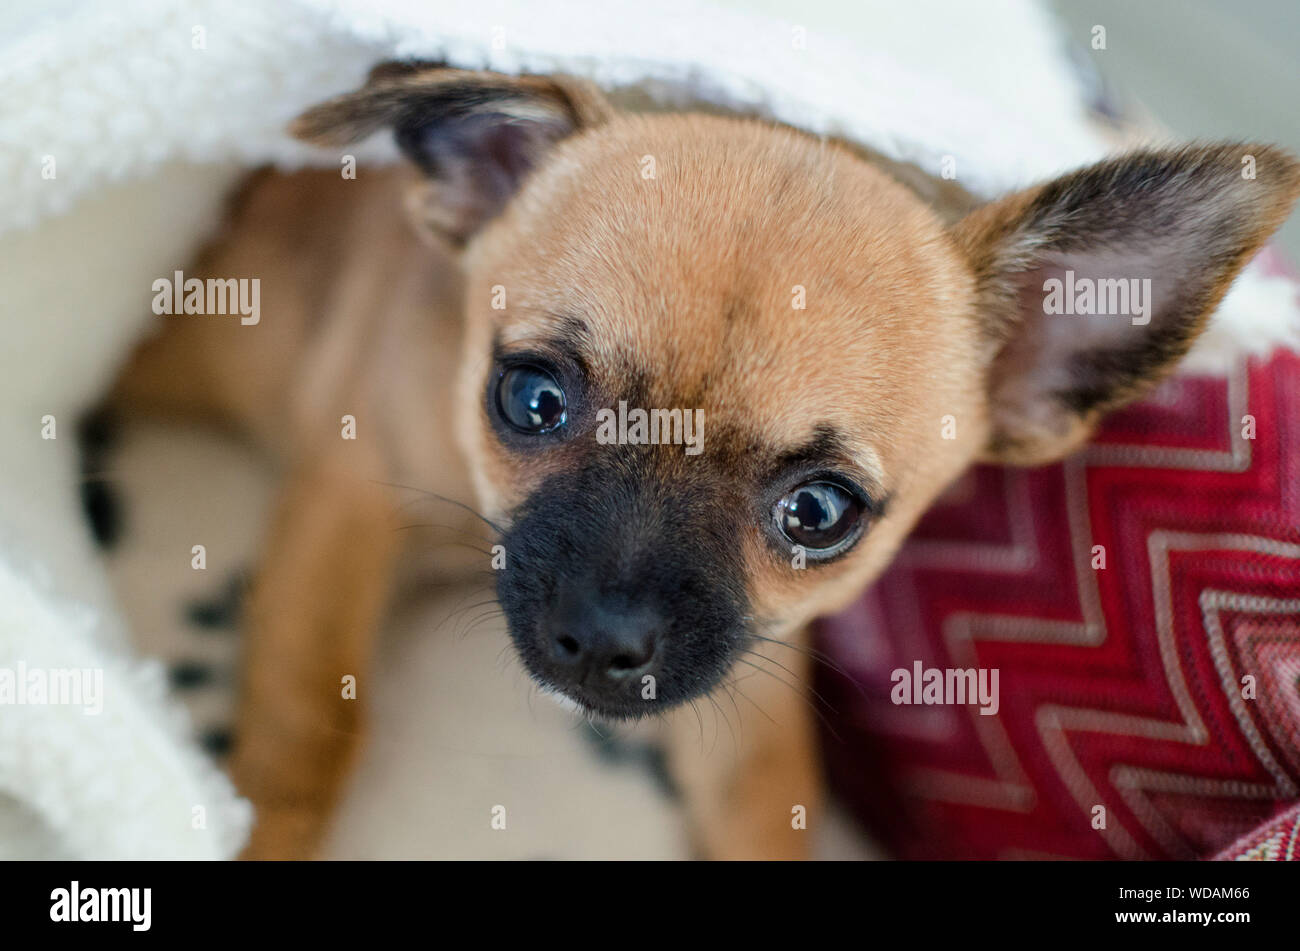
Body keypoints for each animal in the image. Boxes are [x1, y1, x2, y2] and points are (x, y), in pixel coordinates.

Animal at [111, 63, 1300, 857]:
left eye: (820, 513)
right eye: (531, 399)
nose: (602, 636)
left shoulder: (741, 691)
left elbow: (768, 800)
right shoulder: (348, 505)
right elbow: (308, 725)